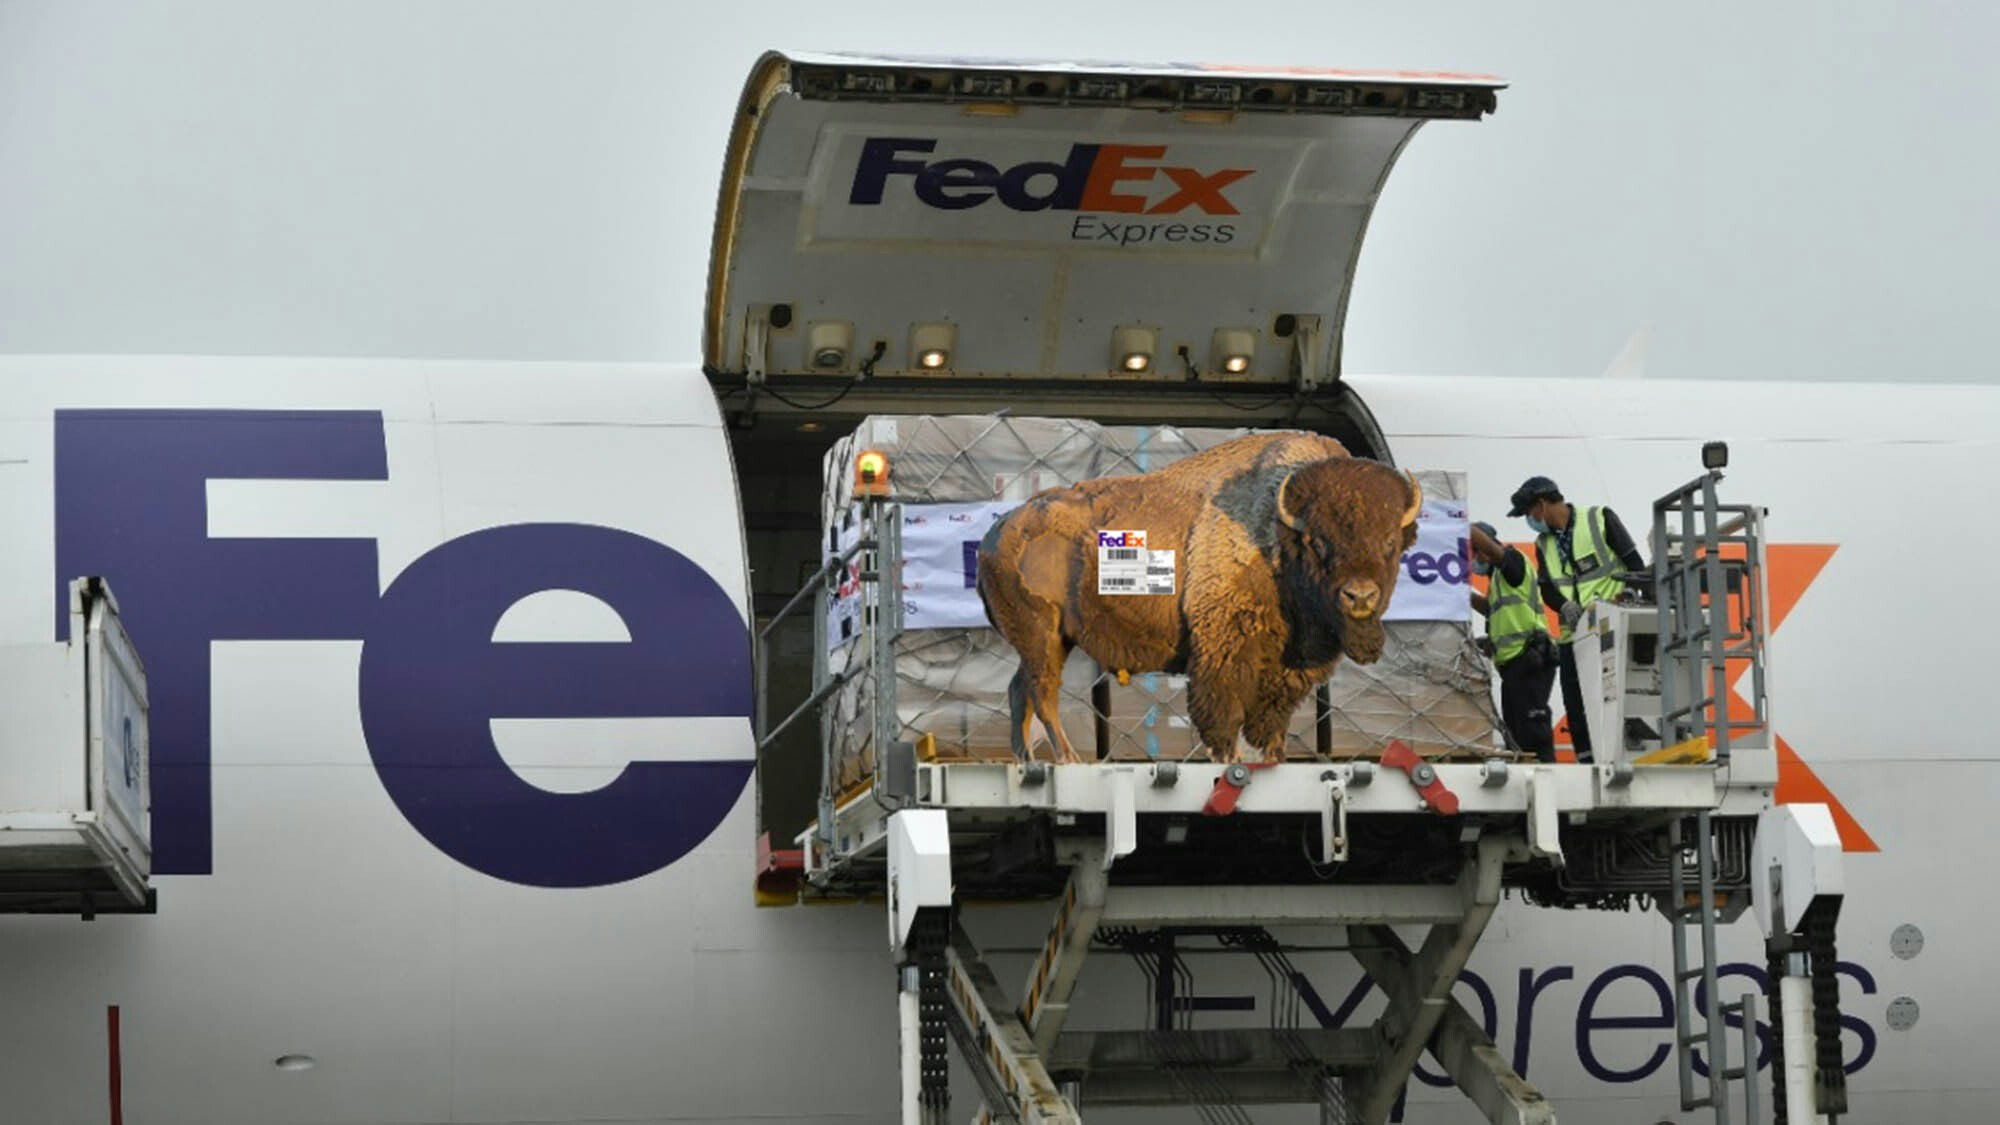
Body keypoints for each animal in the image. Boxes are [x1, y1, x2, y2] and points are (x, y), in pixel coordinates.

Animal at [976, 432, 1421, 764]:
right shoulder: (1225, 649)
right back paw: (1067, 758)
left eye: (1389, 542)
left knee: (1020, 690)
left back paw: (1026, 760)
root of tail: (996, 533)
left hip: (1050, 640)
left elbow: (1269, 722)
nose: (1360, 596)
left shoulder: (1284, 670)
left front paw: (1270, 759)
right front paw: (1229, 759)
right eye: (1318, 542)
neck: (1277, 533)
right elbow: (1225, 712)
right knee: (1041, 692)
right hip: (1042, 635)